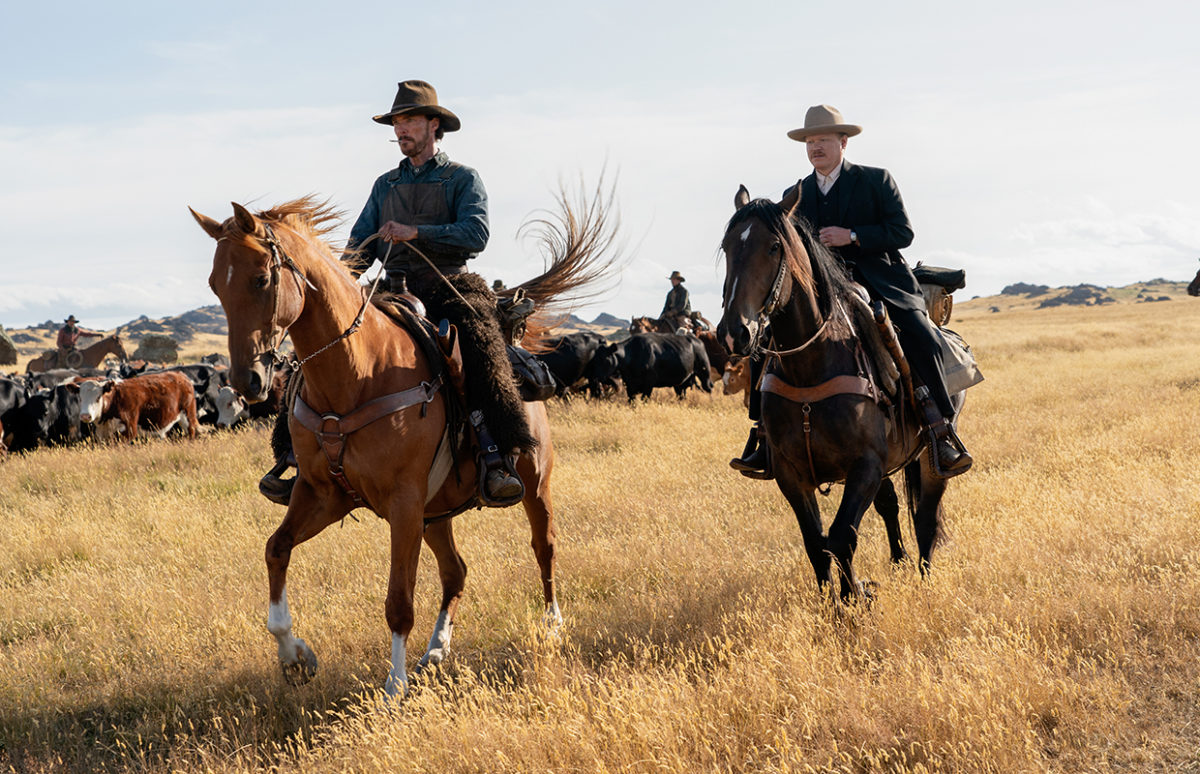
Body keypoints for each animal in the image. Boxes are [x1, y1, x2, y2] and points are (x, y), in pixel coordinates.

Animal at [194, 192, 619, 696]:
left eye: (261, 279)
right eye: (216, 285)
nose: (248, 382)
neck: (359, 372)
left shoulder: (402, 502)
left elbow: (398, 599)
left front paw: (393, 686)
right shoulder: (323, 494)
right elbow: (276, 550)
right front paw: (295, 656)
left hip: (533, 484)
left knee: (544, 547)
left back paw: (551, 625)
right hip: (436, 512)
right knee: (456, 571)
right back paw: (435, 651)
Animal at [710, 183, 955, 600]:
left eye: (774, 246)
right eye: (727, 247)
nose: (734, 333)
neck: (811, 365)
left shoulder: (865, 466)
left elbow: (841, 538)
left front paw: (856, 596)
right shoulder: (791, 473)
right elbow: (816, 542)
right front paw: (832, 604)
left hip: (930, 458)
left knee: (924, 515)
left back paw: (923, 576)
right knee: (890, 505)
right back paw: (899, 560)